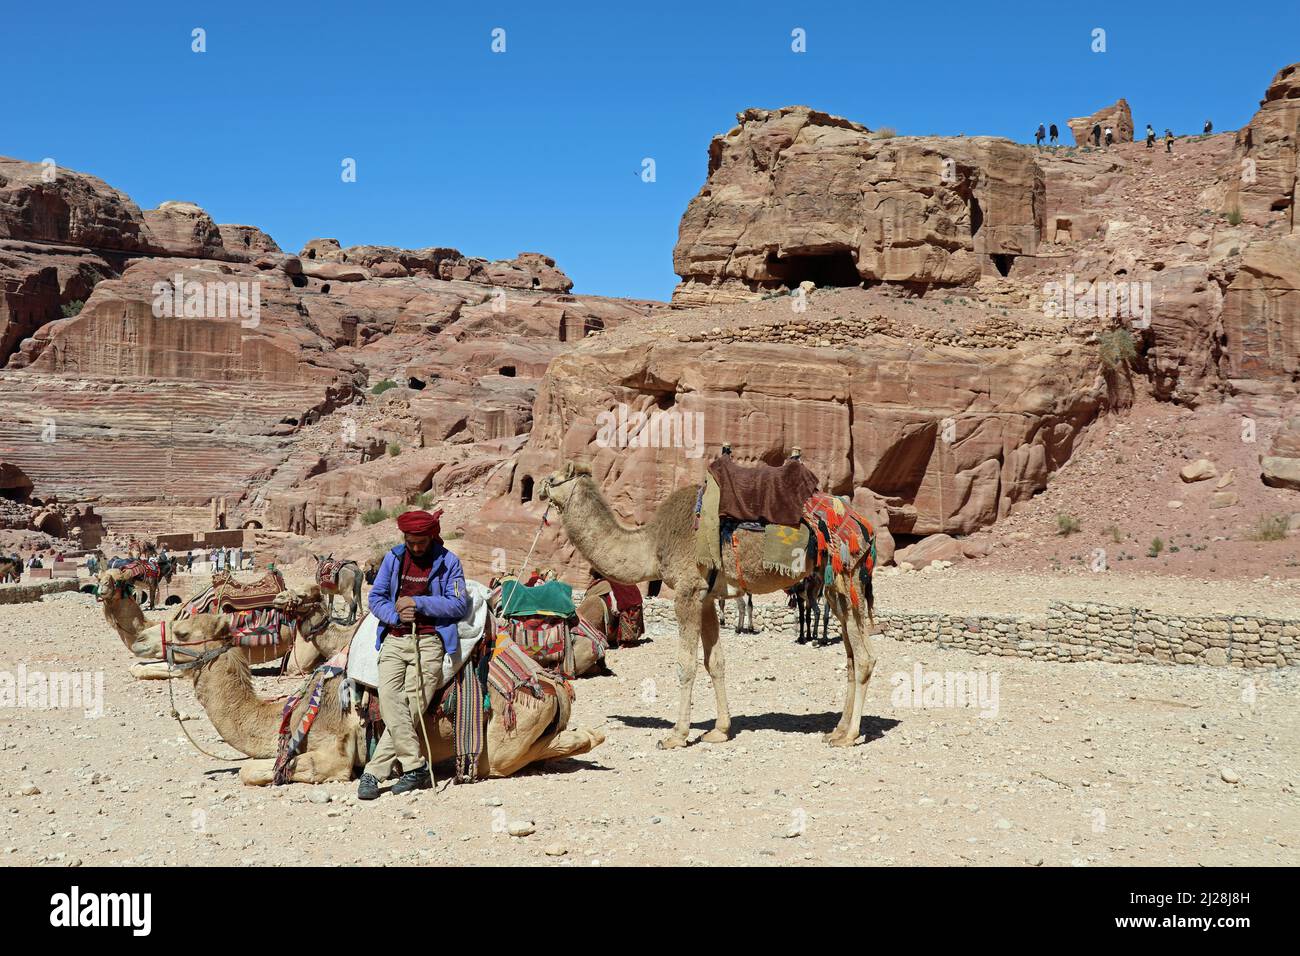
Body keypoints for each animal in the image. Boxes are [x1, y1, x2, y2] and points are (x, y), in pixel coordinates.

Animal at [124, 587, 605, 790]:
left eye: (184, 632)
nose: (144, 641)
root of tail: (551, 685)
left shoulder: (333, 755)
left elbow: (254, 772)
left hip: (500, 739)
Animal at [533, 463, 878, 749]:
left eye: (553, 477)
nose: (538, 488)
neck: (652, 544)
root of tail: (865, 527)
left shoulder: (688, 591)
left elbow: (686, 664)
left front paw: (676, 736)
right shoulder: (709, 596)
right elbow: (716, 663)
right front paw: (719, 731)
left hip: (846, 575)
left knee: (864, 657)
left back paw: (849, 736)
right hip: (833, 584)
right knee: (851, 655)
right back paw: (836, 729)